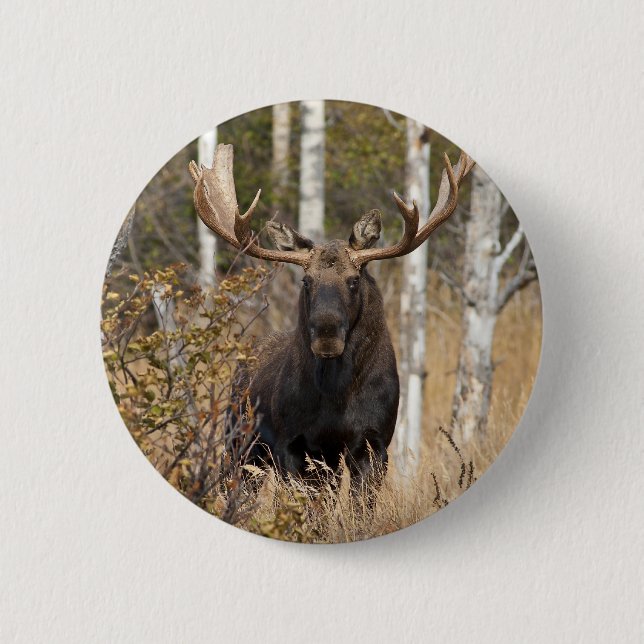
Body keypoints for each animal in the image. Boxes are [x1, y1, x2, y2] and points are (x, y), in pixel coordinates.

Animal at [189, 144, 474, 489]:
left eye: (354, 279)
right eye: (306, 280)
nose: (326, 335)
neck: (336, 398)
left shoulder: (374, 443)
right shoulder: (292, 445)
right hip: (239, 443)